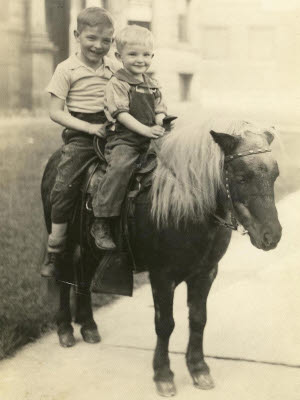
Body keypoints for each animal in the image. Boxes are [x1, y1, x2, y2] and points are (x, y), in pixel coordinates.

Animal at [41, 117, 282, 396]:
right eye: (242, 177)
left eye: (275, 175)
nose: (272, 235)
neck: (188, 207)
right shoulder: (162, 277)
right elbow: (165, 324)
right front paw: (163, 374)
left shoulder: (206, 273)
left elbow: (198, 319)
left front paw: (199, 368)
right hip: (65, 240)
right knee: (63, 279)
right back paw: (65, 330)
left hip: (90, 246)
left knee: (84, 276)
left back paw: (89, 325)